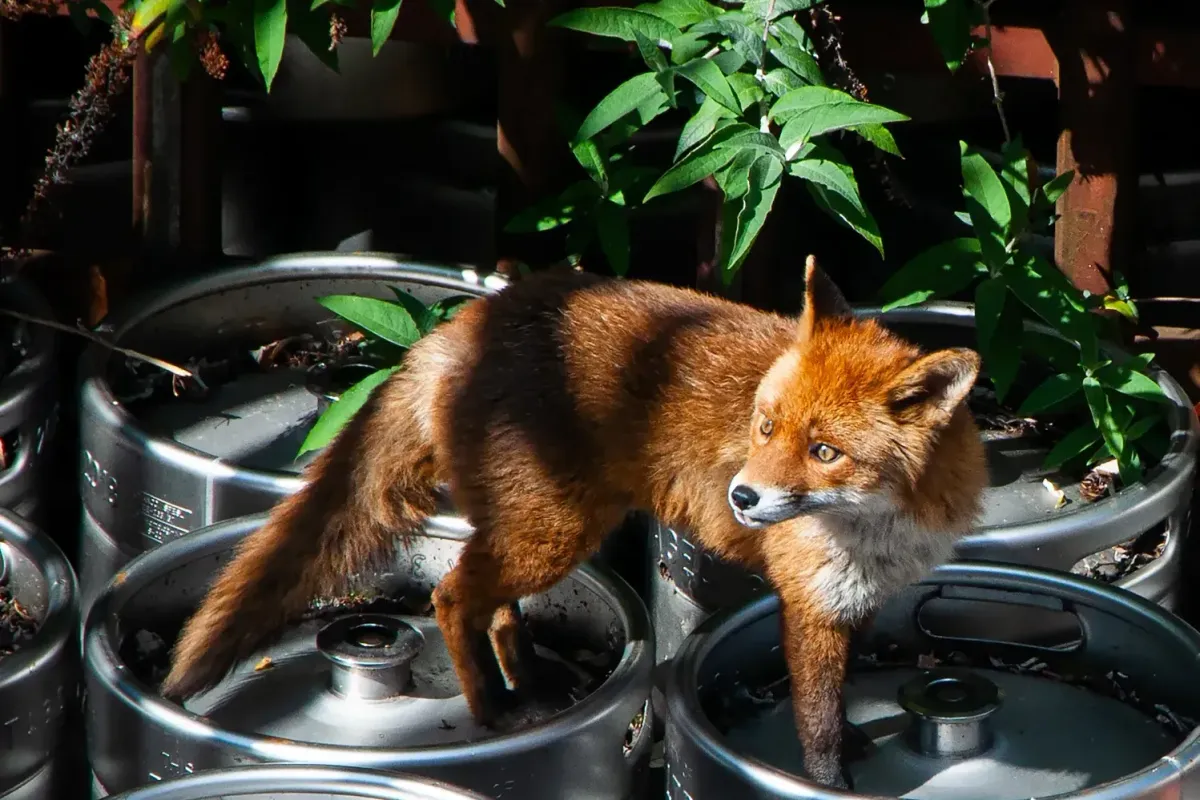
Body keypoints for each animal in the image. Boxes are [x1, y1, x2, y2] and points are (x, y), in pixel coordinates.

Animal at [160, 256, 987, 789]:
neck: (882, 528)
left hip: (530, 527)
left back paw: (528, 684)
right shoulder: (809, 604)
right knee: (454, 596)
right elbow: (814, 725)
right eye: (763, 426)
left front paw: (855, 739)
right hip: (555, 531)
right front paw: (830, 779)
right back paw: (491, 707)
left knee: (493, 607)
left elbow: (840, 700)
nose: (744, 499)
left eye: (824, 452)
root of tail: (467, 323)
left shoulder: (857, 600)